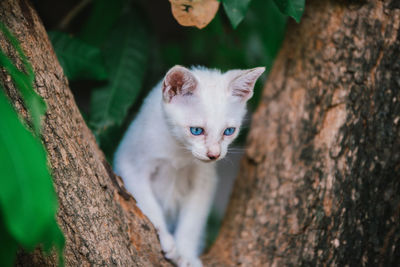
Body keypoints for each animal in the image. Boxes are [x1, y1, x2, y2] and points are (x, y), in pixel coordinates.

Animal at [114, 65, 264, 267]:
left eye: (228, 131)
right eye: (196, 130)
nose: (214, 154)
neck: (179, 152)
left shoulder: (205, 181)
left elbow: (193, 221)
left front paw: (186, 252)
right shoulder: (129, 164)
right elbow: (147, 203)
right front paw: (165, 237)